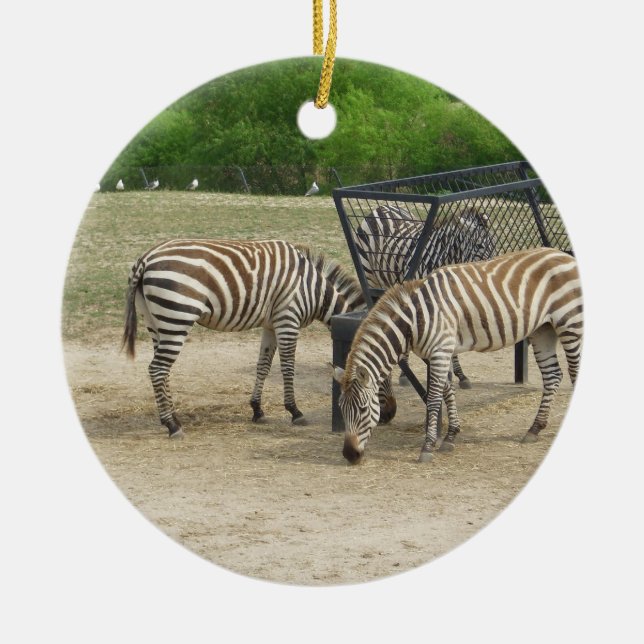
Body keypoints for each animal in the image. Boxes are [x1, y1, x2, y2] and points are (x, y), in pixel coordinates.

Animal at [122, 238, 397, 438]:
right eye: (384, 374)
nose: (390, 414)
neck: (314, 290)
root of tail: (145, 259)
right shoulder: (288, 319)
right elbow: (287, 367)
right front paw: (295, 411)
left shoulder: (271, 325)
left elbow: (263, 366)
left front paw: (257, 409)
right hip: (176, 316)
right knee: (157, 369)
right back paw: (172, 425)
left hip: (156, 321)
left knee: (161, 372)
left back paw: (172, 418)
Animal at [333, 247, 582, 464]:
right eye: (341, 409)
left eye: (363, 409)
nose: (349, 455)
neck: (415, 319)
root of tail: (564, 254)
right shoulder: (439, 352)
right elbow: (448, 392)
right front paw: (451, 436)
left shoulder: (440, 351)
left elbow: (434, 398)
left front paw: (427, 447)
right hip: (543, 329)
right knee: (552, 375)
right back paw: (534, 429)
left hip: (570, 323)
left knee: (573, 372)